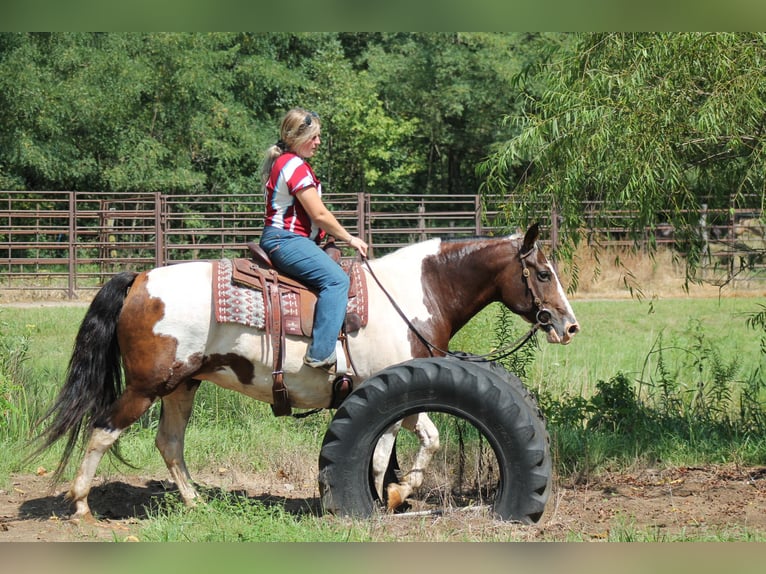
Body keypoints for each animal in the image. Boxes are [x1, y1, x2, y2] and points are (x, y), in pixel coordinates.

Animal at [33, 224, 580, 520]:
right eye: (543, 272)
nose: (569, 325)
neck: (413, 294)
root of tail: (140, 279)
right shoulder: (391, 392)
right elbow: (412, 445)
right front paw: (392, 496)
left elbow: (399, 450)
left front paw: (392, 496)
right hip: (146, 386)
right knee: (103, 430)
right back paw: (81, 506)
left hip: (181, 386)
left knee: (169, 444)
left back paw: (195, 503)